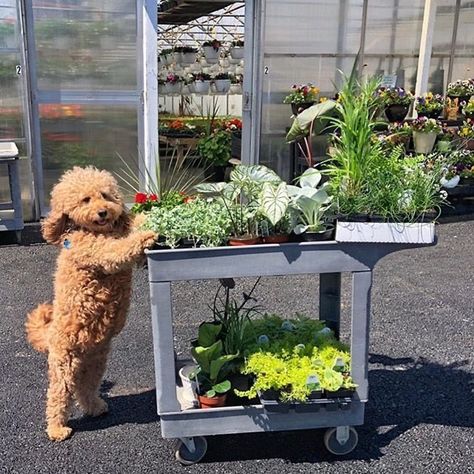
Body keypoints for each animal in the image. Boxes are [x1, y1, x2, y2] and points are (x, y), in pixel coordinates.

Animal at [25, 166, 156, 440]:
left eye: (105, 195)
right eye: (85, 200)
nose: (103, 212)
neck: (94, 230)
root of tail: (49, 334)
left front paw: (145, 220)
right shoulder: (96, 252)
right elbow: (118, 250)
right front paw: (146, 235)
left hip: (95, 362)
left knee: (84, 388)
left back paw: (95, 407)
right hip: (64, 363)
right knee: (58, 395)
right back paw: (57, 429)